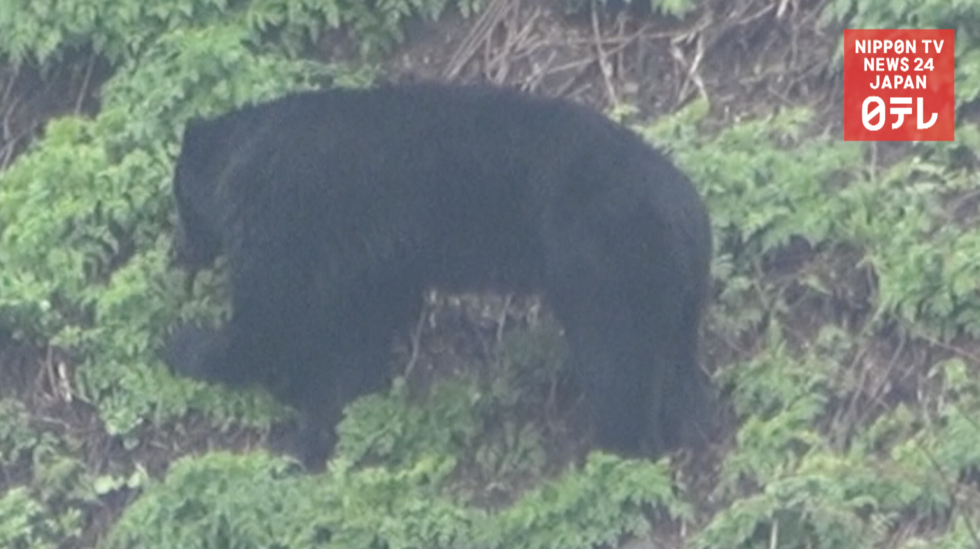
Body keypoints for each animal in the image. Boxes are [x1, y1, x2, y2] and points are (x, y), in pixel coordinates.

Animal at [166, 81, 714, 466]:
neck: (241, 151)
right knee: (675, 363)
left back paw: (616, 453)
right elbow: (356, 337)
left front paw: (184, 343)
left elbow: (270, 316)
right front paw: (324, 426)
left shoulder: (284, 216)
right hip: (673, 290)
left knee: (618, 364)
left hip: (607, 267)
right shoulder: (375, 264)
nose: (178, 253)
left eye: (179, 206)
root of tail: (690, 212)